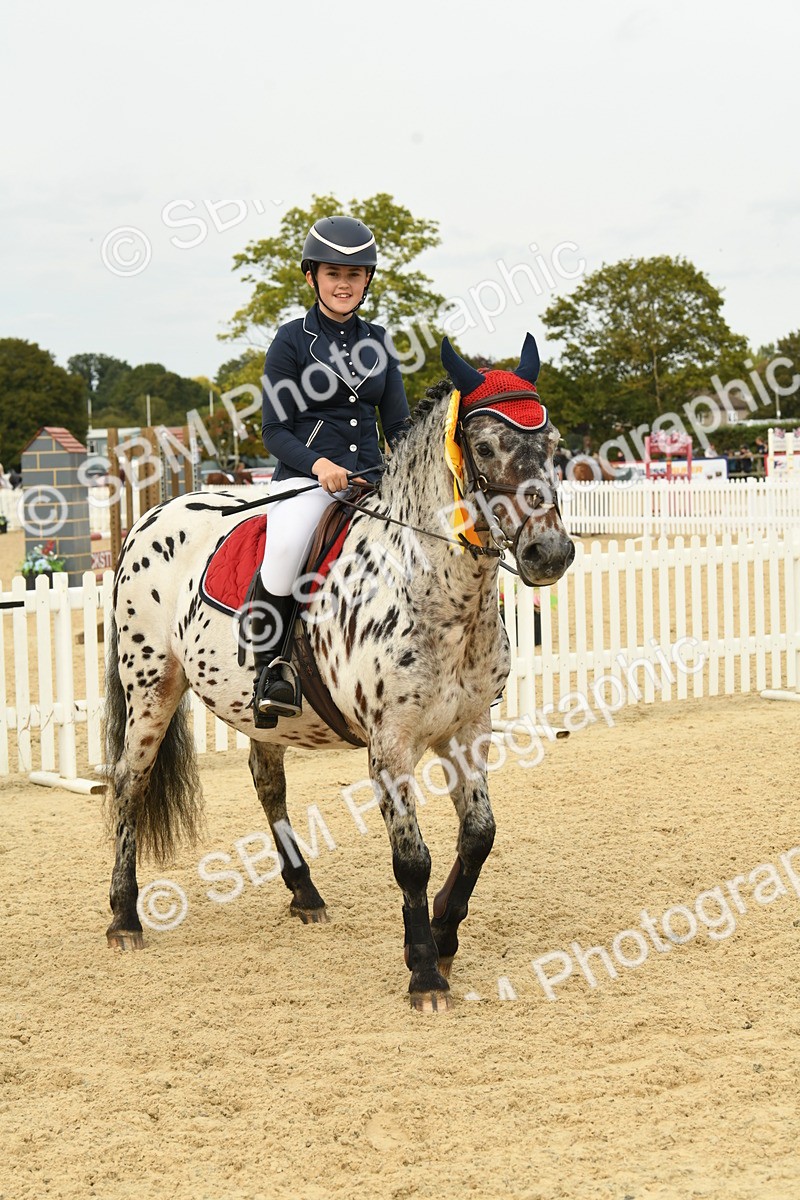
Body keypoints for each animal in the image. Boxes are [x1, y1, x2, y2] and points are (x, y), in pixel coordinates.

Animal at [104, 335, 575, 1012]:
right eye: (485, 447)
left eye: (556, 445)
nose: (549, 554)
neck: (436, 589)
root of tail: (151, 514)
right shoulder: (390, 744)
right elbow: (411, 858)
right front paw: (424, 972)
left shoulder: (467, 730)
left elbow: (479, 836)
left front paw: (444, 934)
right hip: (152, 686)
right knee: (128, 784)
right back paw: (124, 917)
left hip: (257, 711)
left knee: (266, 782)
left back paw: (304, 891)